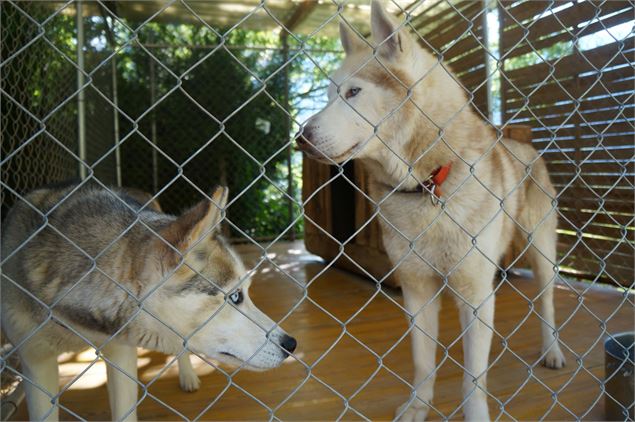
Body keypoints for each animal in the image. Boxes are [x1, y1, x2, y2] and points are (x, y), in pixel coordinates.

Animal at [298, 1, 568, 420]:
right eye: (328, 96)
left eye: (353, 92)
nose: (300, 137)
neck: (426, 184)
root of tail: (525, 146)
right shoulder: (417, 289)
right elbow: (424, 362)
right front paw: (417, 406)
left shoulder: (474, 292)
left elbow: (472, 380)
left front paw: (475, 412)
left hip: (541, 254)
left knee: (547, 305)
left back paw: (552, 350)